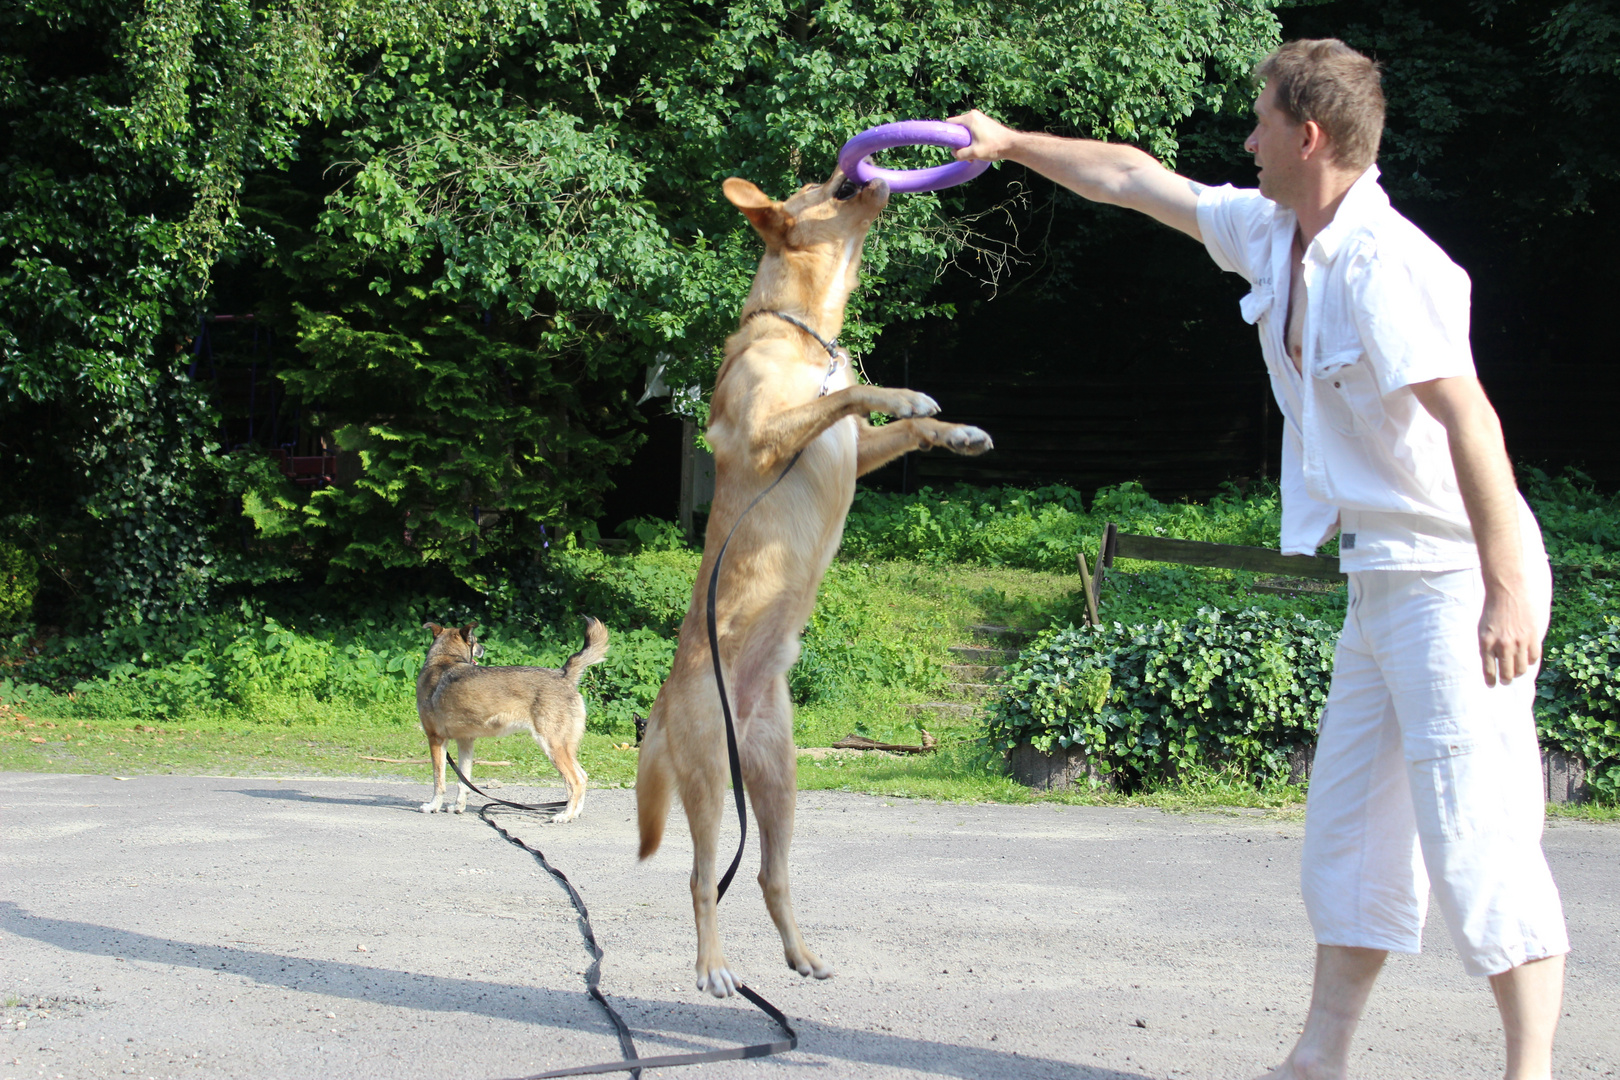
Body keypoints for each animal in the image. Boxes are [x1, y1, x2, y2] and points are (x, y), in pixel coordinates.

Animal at [421, 615, 609, 819]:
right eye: (476, 641)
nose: (483, 648)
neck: (443, 659)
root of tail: (563, 674)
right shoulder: (465, 742)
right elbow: (463, 782)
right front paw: (458, 807)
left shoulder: (436, 739)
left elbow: (438, 781)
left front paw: (433, 806)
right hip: (564, 748)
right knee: (583, 776)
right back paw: (574, 814)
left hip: (552, 746)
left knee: (575, 781)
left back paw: (564, 816)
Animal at [631, 169, 984, 997]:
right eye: (821, 184)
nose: (858, 171)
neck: (802, 333)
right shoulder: (765, 437)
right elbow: (849, 394)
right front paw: (909, 394)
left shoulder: (857, 450)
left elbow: (893, 426)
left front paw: (956, 432)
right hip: (708, 779)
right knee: (701, 878)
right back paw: (714, 969)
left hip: (781, 779)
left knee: (769, 875)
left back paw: (802, 955)